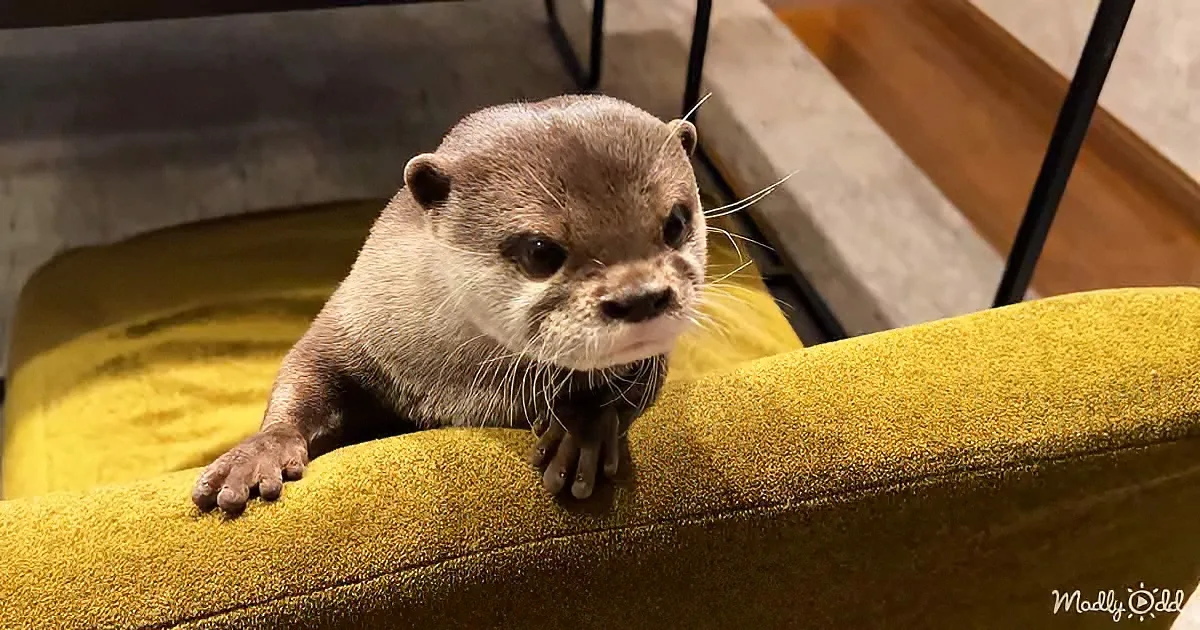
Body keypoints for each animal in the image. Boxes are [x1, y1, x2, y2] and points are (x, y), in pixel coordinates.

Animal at [191, 94, 707, 515]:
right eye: (540, 251)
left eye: (677, 222)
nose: (641, 297)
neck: (456, 386)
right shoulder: (351, 319)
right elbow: (305, 370)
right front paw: (258, 455)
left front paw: (582, 428)